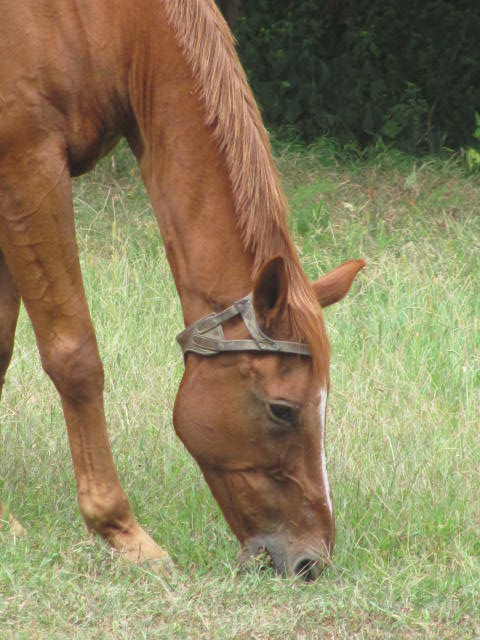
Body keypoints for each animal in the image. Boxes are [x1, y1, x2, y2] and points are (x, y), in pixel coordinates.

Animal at [0, 0, 364, 579]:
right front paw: (123, 532)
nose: (311, 560)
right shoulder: (27, 172)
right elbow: (75, 357)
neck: (112, 26)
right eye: (282, 410)